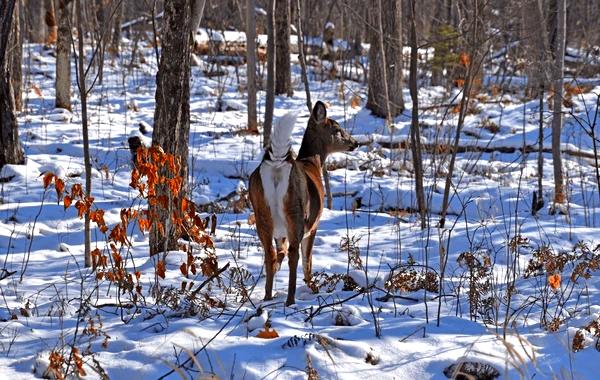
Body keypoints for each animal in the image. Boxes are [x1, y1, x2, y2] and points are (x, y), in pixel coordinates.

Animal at [247, 101, 356, 306]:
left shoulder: (280, 232)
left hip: (261, 213)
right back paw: (291, 299)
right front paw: (312, 287)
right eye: (337, 130)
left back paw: (267, 296)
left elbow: (279, 254)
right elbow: (308, 259)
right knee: (294, 255)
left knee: (269, 254)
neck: (312, 162)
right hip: (296, 212)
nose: (355, 142)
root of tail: (277, 165)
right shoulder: (314, 224)